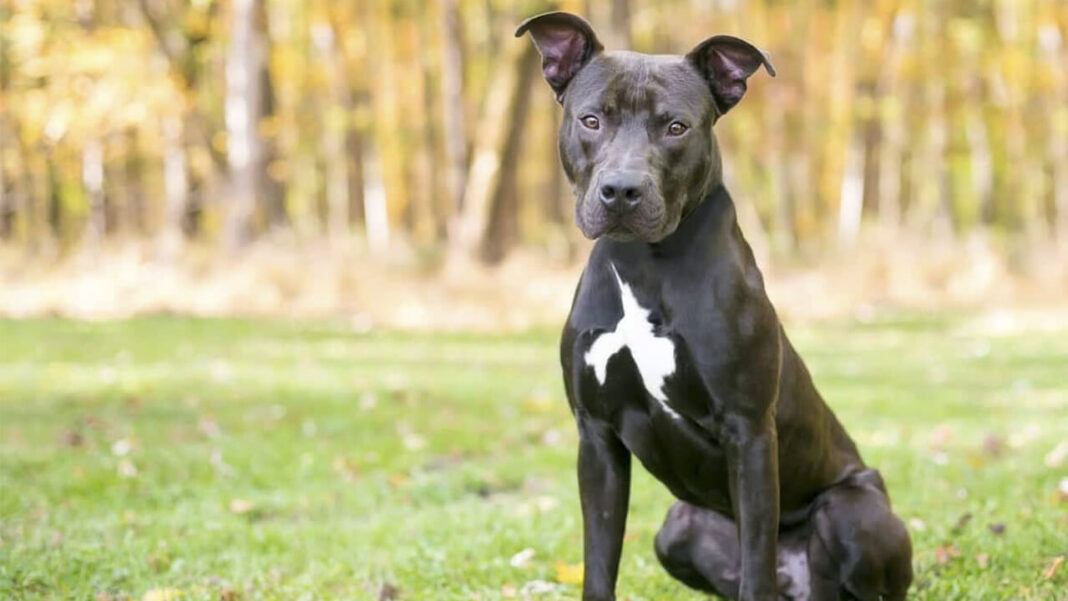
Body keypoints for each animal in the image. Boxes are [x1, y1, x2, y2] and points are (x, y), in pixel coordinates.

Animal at [514, 10, 909, 601]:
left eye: (676, 127)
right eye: (591, 120)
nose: (621, 190)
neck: (644, 265)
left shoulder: (749, 432)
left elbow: (756, 564)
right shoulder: (597, 437)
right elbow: (599, 563)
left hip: (851, 512)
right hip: (678, 527)